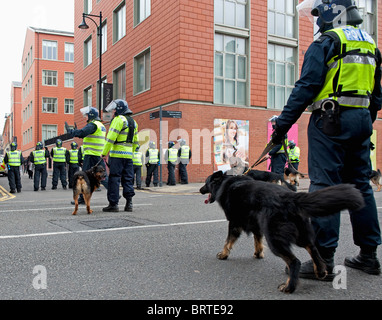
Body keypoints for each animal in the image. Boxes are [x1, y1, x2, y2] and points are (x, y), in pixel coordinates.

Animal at [200, 171, 364, 294]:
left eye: (206, 182)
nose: (201, 190)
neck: (225, 183)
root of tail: (291, 197)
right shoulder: (256, 225)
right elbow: (257, 240)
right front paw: (258, 253)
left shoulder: (234, 223)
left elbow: (228, 241)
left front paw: (223, 254)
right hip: (300, 234)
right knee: (313, 247)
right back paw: (320, 270)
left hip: (274, 239)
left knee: (294, 261)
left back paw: (289, 286)